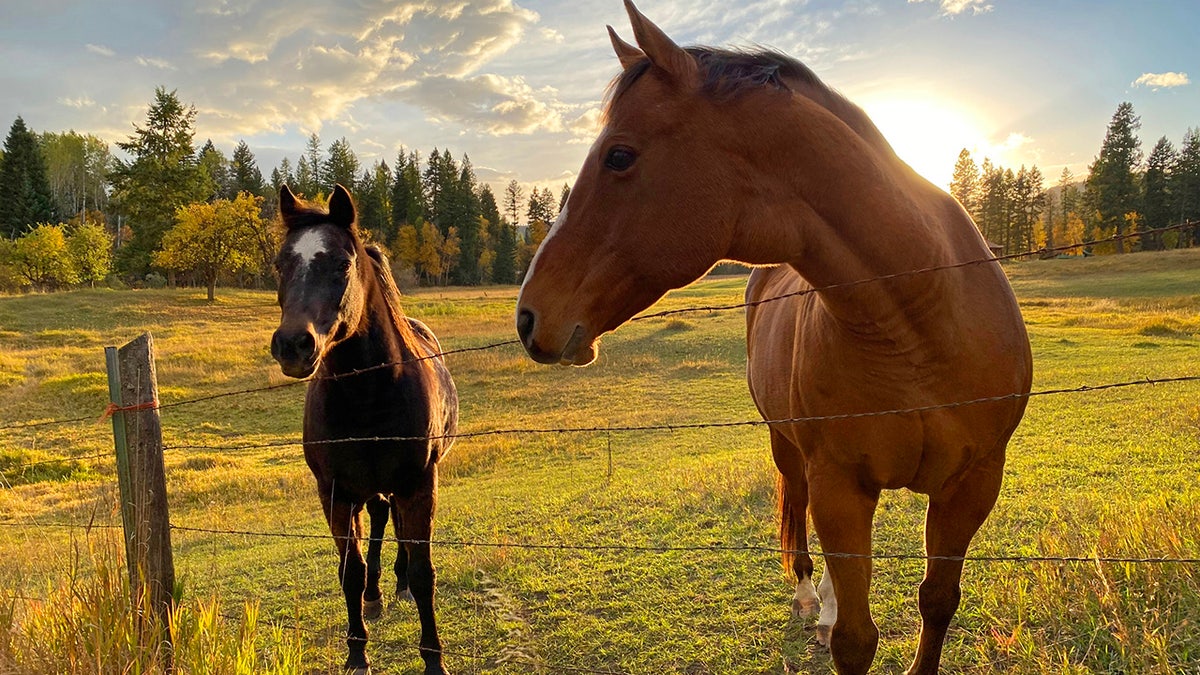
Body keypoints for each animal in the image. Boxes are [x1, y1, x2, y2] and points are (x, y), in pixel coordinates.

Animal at [272, 183, 458, 672]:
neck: (368, 394)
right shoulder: (334, 493)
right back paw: (376, 594)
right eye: (280, 264)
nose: (293, 345)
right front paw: (357, 652)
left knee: (395, 525)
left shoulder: (419, 484)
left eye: (341, 263)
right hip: (367, 490)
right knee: (377, 520)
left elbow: (424, 569)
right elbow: (349, 571)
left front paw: (434, 658)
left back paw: (398, 586)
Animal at [516, 2, 1032, 667]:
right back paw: (815, 598)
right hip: (790, 450)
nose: (528, 317)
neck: (918, 322)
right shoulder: (840, 485)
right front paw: (833, 615)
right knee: (801, 509)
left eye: (619, 157)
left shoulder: (972, 487)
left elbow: (937, 603)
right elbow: (855, 639)